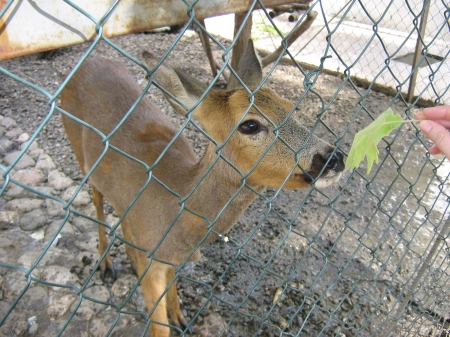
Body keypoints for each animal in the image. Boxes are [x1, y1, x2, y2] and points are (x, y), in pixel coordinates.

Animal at [59, 40, 344, 336]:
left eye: (290, 107)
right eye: (250, 124)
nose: (335, 158)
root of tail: (87, 61)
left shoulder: (171, 257)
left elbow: (171, 286)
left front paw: (179, 316)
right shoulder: (154, 262)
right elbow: (158, 325)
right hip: (79, 152)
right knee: (97, 200)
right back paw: (106, 264)